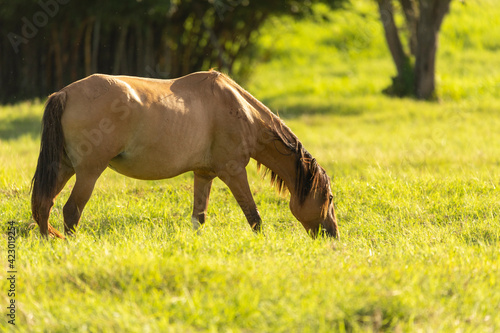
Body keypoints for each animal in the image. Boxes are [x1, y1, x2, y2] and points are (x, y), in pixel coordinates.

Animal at [31, 70, 340, 239]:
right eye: (329, 198)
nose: (333, 236)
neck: (240, 110)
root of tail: (64, 94)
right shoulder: (234, 172)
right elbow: (254, 217)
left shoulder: (204, 175)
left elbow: (198, 217)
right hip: (89, 172)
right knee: (71, 210)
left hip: (64, 168)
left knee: (43, 205)